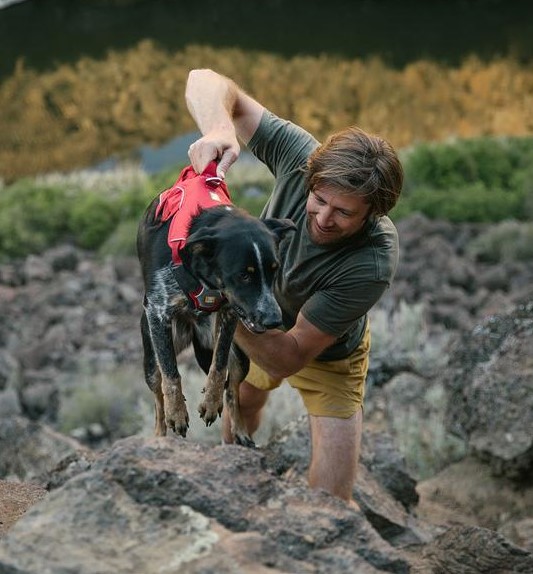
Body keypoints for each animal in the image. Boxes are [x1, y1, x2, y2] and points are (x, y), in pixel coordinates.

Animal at [136, 161, 296, 446]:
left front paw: (210, 402)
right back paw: (160, 435)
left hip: (239, 355)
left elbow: (219, 366)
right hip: (152, 356)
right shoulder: (158, 312)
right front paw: (177, 412)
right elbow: (171, 374)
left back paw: (240, 432)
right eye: (244, 275)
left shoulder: (229, 313)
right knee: (157, 393)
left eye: (274, 269)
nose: (274, 319)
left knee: (232, 389)